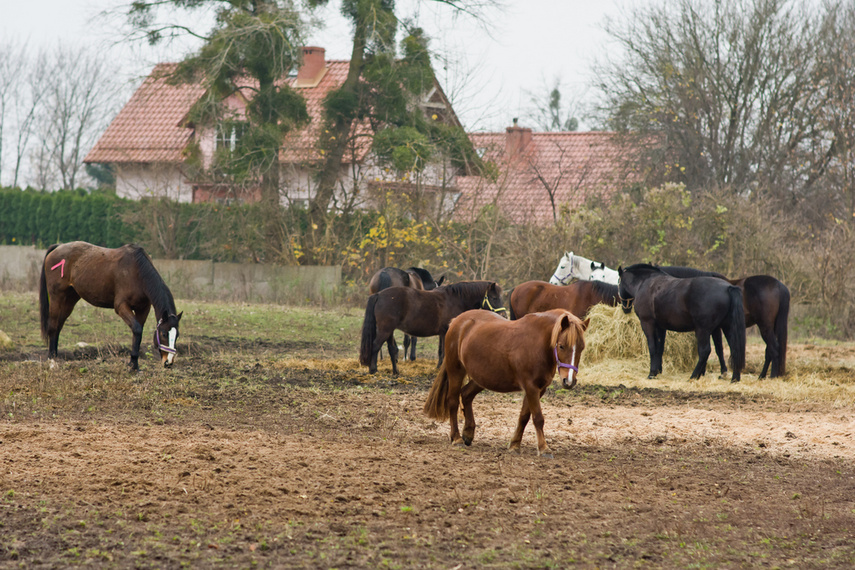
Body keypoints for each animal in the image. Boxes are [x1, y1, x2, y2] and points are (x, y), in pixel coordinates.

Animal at [39, 239, 183, 368]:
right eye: (164, 334)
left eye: (177, 335)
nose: (168, 362)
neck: (137, 272)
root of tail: (58, 247)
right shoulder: (121, 306)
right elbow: (137, 329)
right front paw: (133, 365)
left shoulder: (143, 309)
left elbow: (137, 332)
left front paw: (134, 363)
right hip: (57, 297)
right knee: (53, 326)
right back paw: (52, 360)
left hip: (70, 299)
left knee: (59, 325)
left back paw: (55, 355)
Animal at [358, 278, 504, 372]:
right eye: (494, 298)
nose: (503, 315)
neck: (455, 300)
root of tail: (379, 295)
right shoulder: (446, 332)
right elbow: (444, 351)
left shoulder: (442, 333)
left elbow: (440, 351)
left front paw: (438, 367)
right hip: (385, 330)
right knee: (375, 345)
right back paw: (373, 369)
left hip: (389, 331)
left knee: (391, 349)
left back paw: (396, 371)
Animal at [426, 308, 588, 454]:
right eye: (561, 346)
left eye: (582, 348)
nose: (569, 381)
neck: (538, 344)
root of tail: (456, 321)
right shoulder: (531, 387)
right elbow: (538, 417)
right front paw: (543, 448)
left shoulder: (539, 389)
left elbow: (524, 416)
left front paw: (515, 445)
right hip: (456, 371)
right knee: (453, 401)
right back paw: (456, 438)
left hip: (482, 378)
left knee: (466, 394)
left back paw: (468, 433)